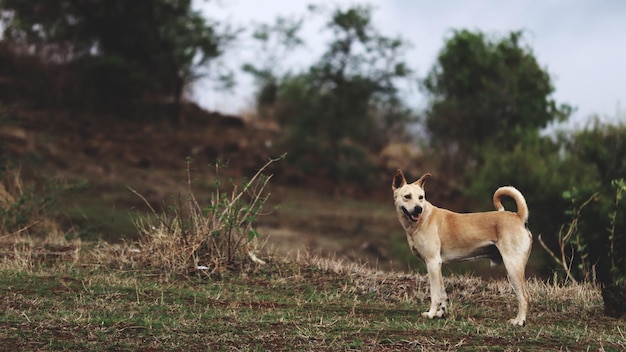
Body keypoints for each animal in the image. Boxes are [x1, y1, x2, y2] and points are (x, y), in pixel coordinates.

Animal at [390, 169, 532, 326]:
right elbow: (442, 294)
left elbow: (435, 295)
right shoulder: (437, 265)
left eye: (421, 197)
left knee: (524, 297)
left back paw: (519, 321)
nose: (418, 209)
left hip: (513, 267)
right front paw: (441, 313)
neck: (423, 219)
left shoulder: (432, 263)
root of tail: (518, 217)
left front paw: (431, 314)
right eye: (407, 196)